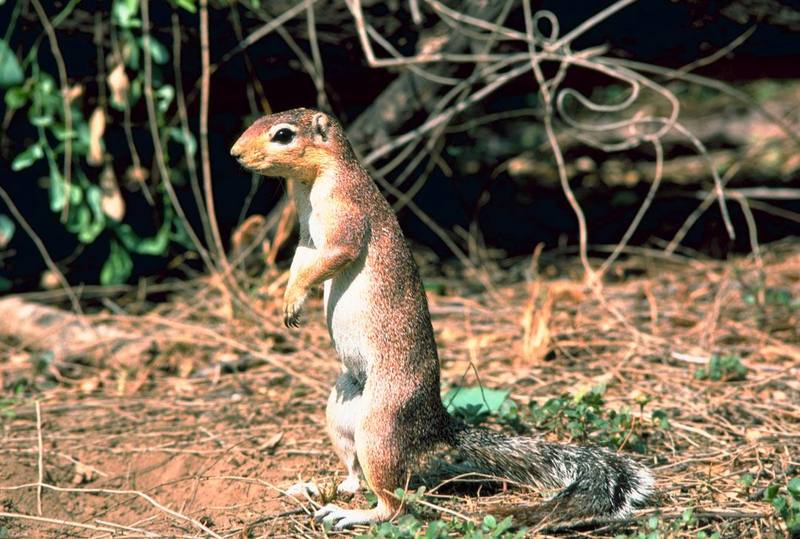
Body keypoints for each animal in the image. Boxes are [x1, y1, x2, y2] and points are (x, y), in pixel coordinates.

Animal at [228, 107, 652, 528]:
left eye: (283, 135)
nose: (235, 154)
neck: (314, 181)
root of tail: (434, 422)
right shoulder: (305, 237)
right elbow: (300, 261)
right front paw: (286, 297)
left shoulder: (346, 214)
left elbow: (335, 255)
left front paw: (294, 298)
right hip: (340, 414)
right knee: (354, 473)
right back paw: (322, 489)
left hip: (379, 427)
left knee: (393, 502)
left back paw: (354, 513)